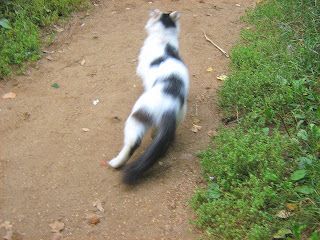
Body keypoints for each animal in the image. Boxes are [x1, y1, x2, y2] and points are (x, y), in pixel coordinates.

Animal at [109, 9, 189, 185]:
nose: (152, 10)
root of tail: (170, 105)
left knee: (132, 144)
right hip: (179, 116)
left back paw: (115, 162)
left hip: (135, 120)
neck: (164, 39)